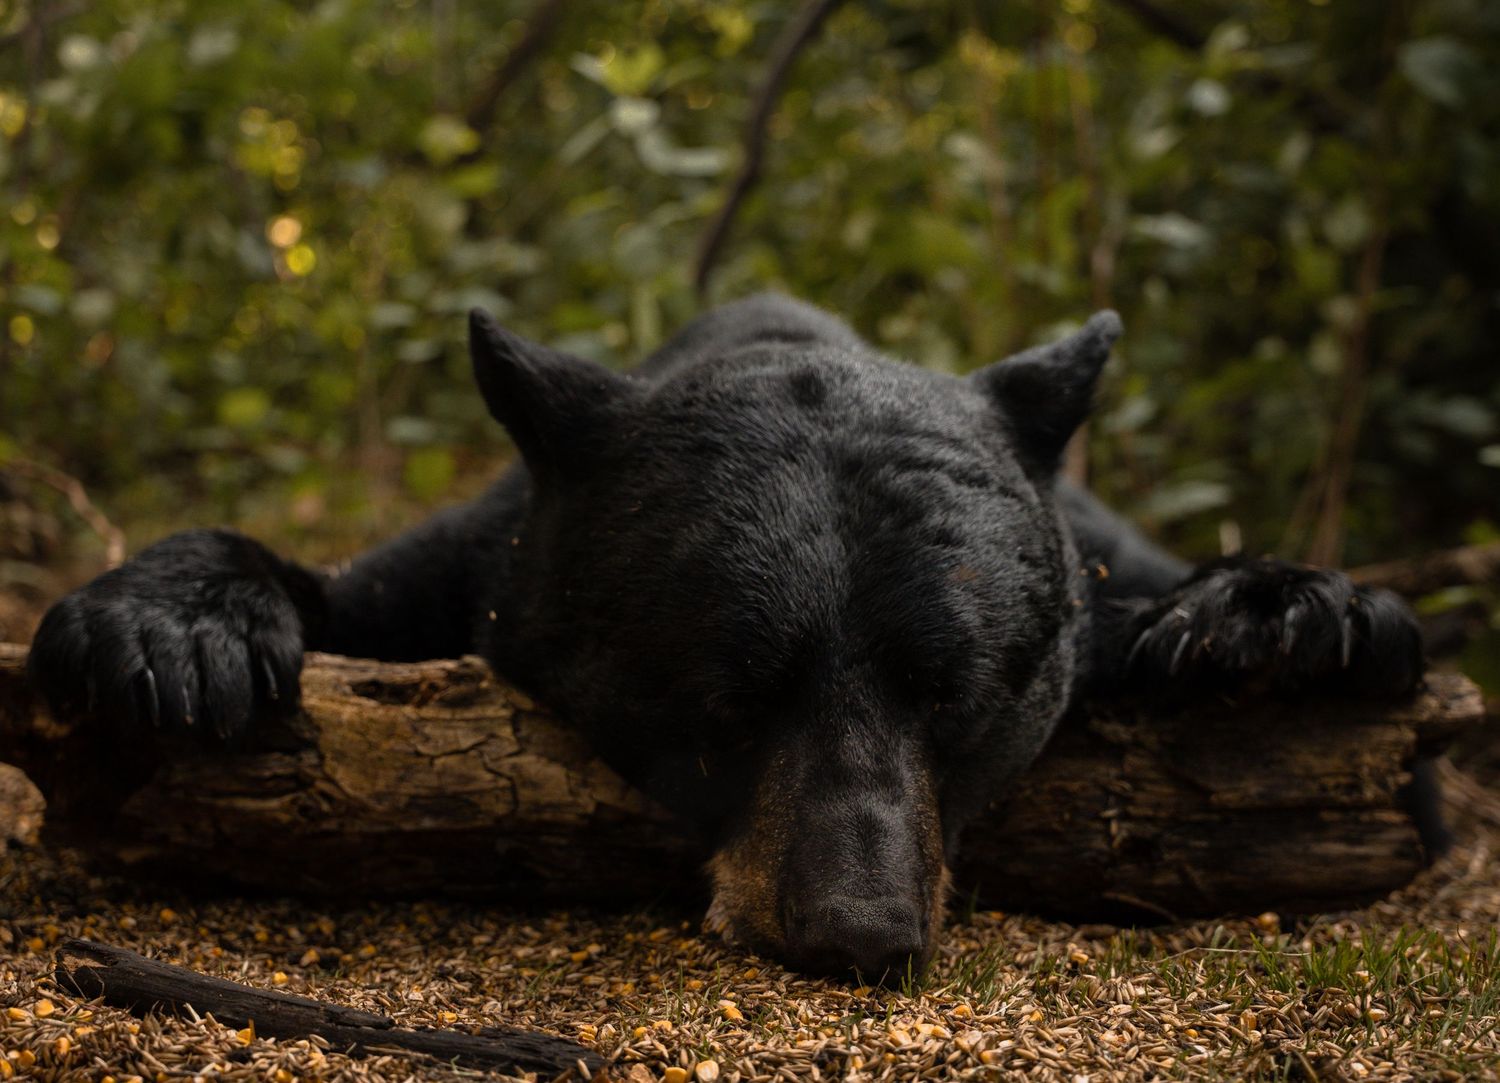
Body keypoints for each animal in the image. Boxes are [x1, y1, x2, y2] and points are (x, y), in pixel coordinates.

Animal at [27, 293, 1425, 978]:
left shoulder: (1085, 554)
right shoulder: (481, 560)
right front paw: (168, 629)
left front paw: (1278, 615)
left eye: (958, 696)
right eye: (725, 704)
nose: (858, 935)